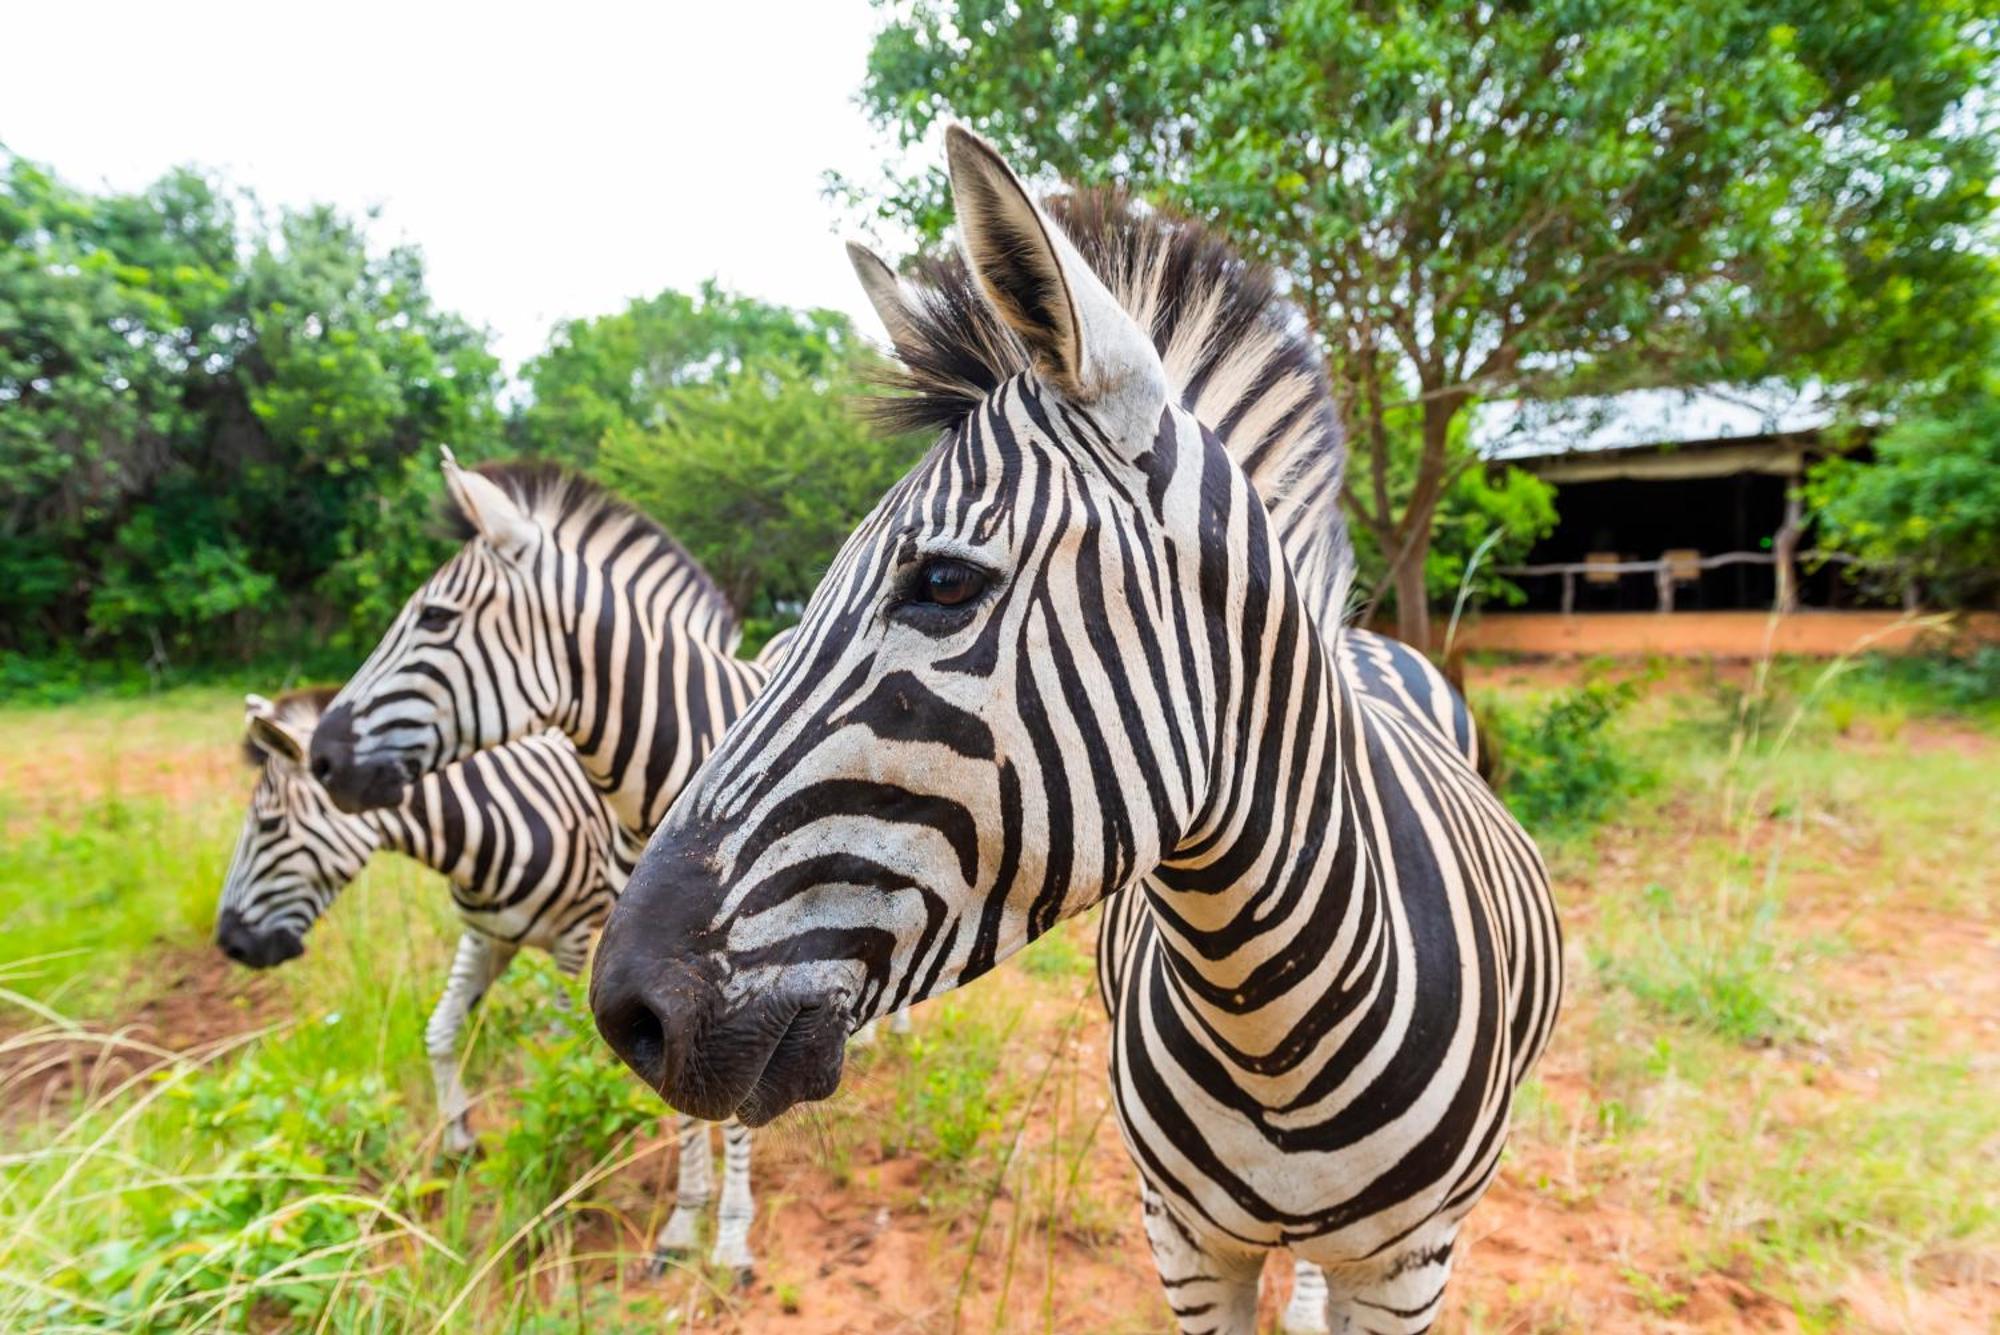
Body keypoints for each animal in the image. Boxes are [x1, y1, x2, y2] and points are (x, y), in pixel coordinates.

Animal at [219, 687, 760, 1271]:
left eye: (270, 825)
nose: (230, 943)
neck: (481, 828)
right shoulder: (487, 938)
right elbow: (441, 1031)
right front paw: (459, 1137)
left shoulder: (574, 938)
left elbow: (552, 1057)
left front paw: (559, 1148)